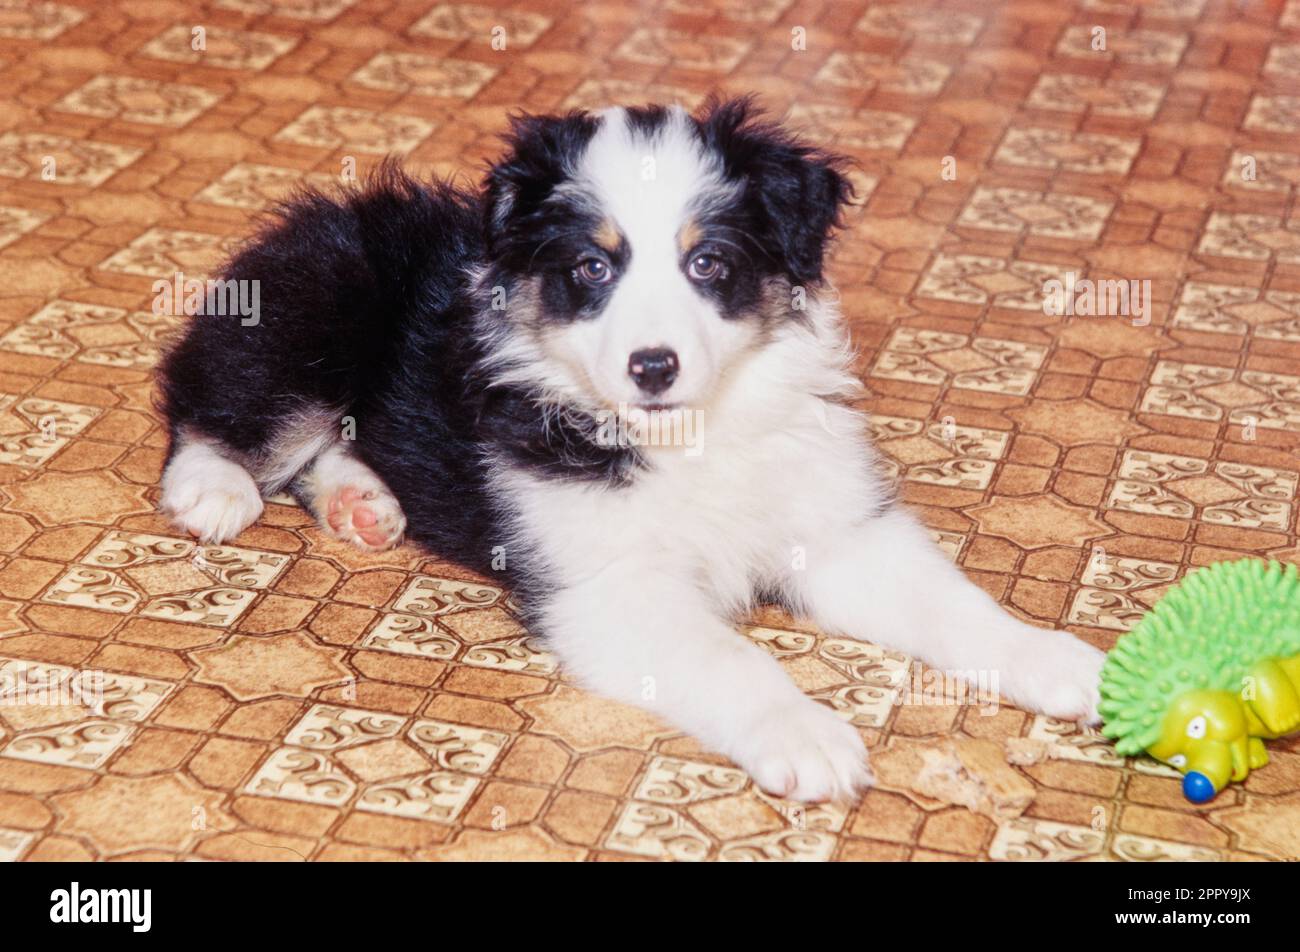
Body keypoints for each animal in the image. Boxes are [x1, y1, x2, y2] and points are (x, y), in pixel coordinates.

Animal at [157, 98, 1102, 801]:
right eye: (592, 268)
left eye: (708, 263)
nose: (653, 366)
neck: (689, 438)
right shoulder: (609, 586)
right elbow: (727, 654)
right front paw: (805, 734)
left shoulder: (838, 529)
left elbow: (951, 604)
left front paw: (1058, 661)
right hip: (321, 304)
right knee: (208, 394)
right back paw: (216, 487)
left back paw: (365, 502)